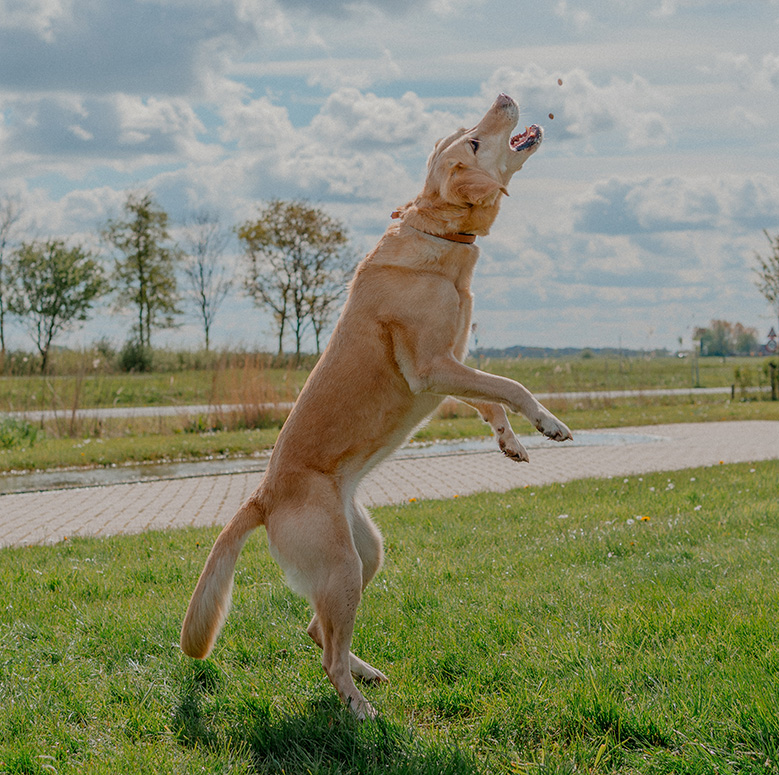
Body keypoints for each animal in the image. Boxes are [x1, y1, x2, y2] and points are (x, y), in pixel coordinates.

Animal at [183, 94, 572, 720]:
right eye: (472, 141)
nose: (505, 97)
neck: (441, 238)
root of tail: (262, 497)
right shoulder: (432, 367)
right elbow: (510, 385)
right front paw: (548, 423)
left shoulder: (446, 369)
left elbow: (488, 399)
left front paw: (510, 441)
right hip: (342, 566)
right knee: (326, 652)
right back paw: (358, 707)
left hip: (367, 553)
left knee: (319, 630)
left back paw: (364, 675)